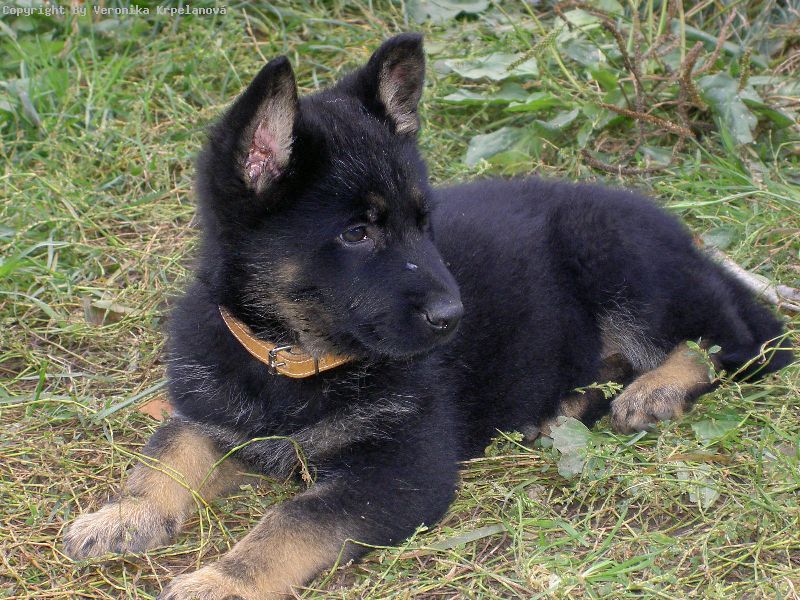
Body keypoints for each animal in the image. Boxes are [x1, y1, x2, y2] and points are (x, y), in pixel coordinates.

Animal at [63, 34, 793, 599]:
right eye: (358, 232)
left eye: (423, 223)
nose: (454, 316)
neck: (291, 359)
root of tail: (692, 242)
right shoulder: (210, 410)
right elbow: (165, 452)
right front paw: (122, 514)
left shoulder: (399, 471)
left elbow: (290, 524)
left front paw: (222, 579)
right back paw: (568, 404)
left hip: (617, 258)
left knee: (737, 342)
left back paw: (655, 388)